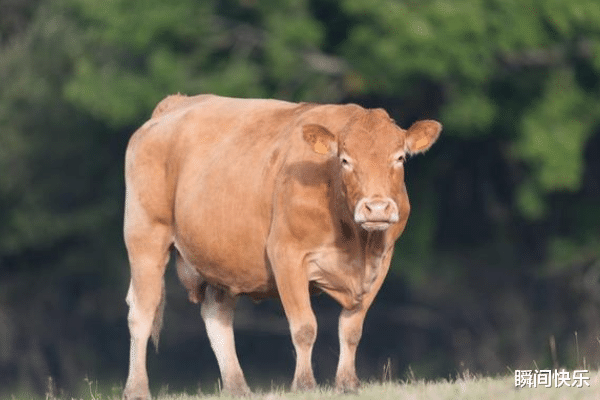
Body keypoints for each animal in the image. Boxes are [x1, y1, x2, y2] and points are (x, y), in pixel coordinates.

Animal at [122, 94, 440, 400]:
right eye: (345, 160)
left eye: (399, 158)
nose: (377, 208)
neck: (356, 243)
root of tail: (174, 104)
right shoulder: (287, 254)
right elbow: (304, 327)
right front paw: (304, 384)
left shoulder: (381, 262)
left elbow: (351, 329)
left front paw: (348, 384)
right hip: (145, 236)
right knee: (141, 311)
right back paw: (136, 388)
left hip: (222, 257)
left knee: (217, 316)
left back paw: (238, 388)